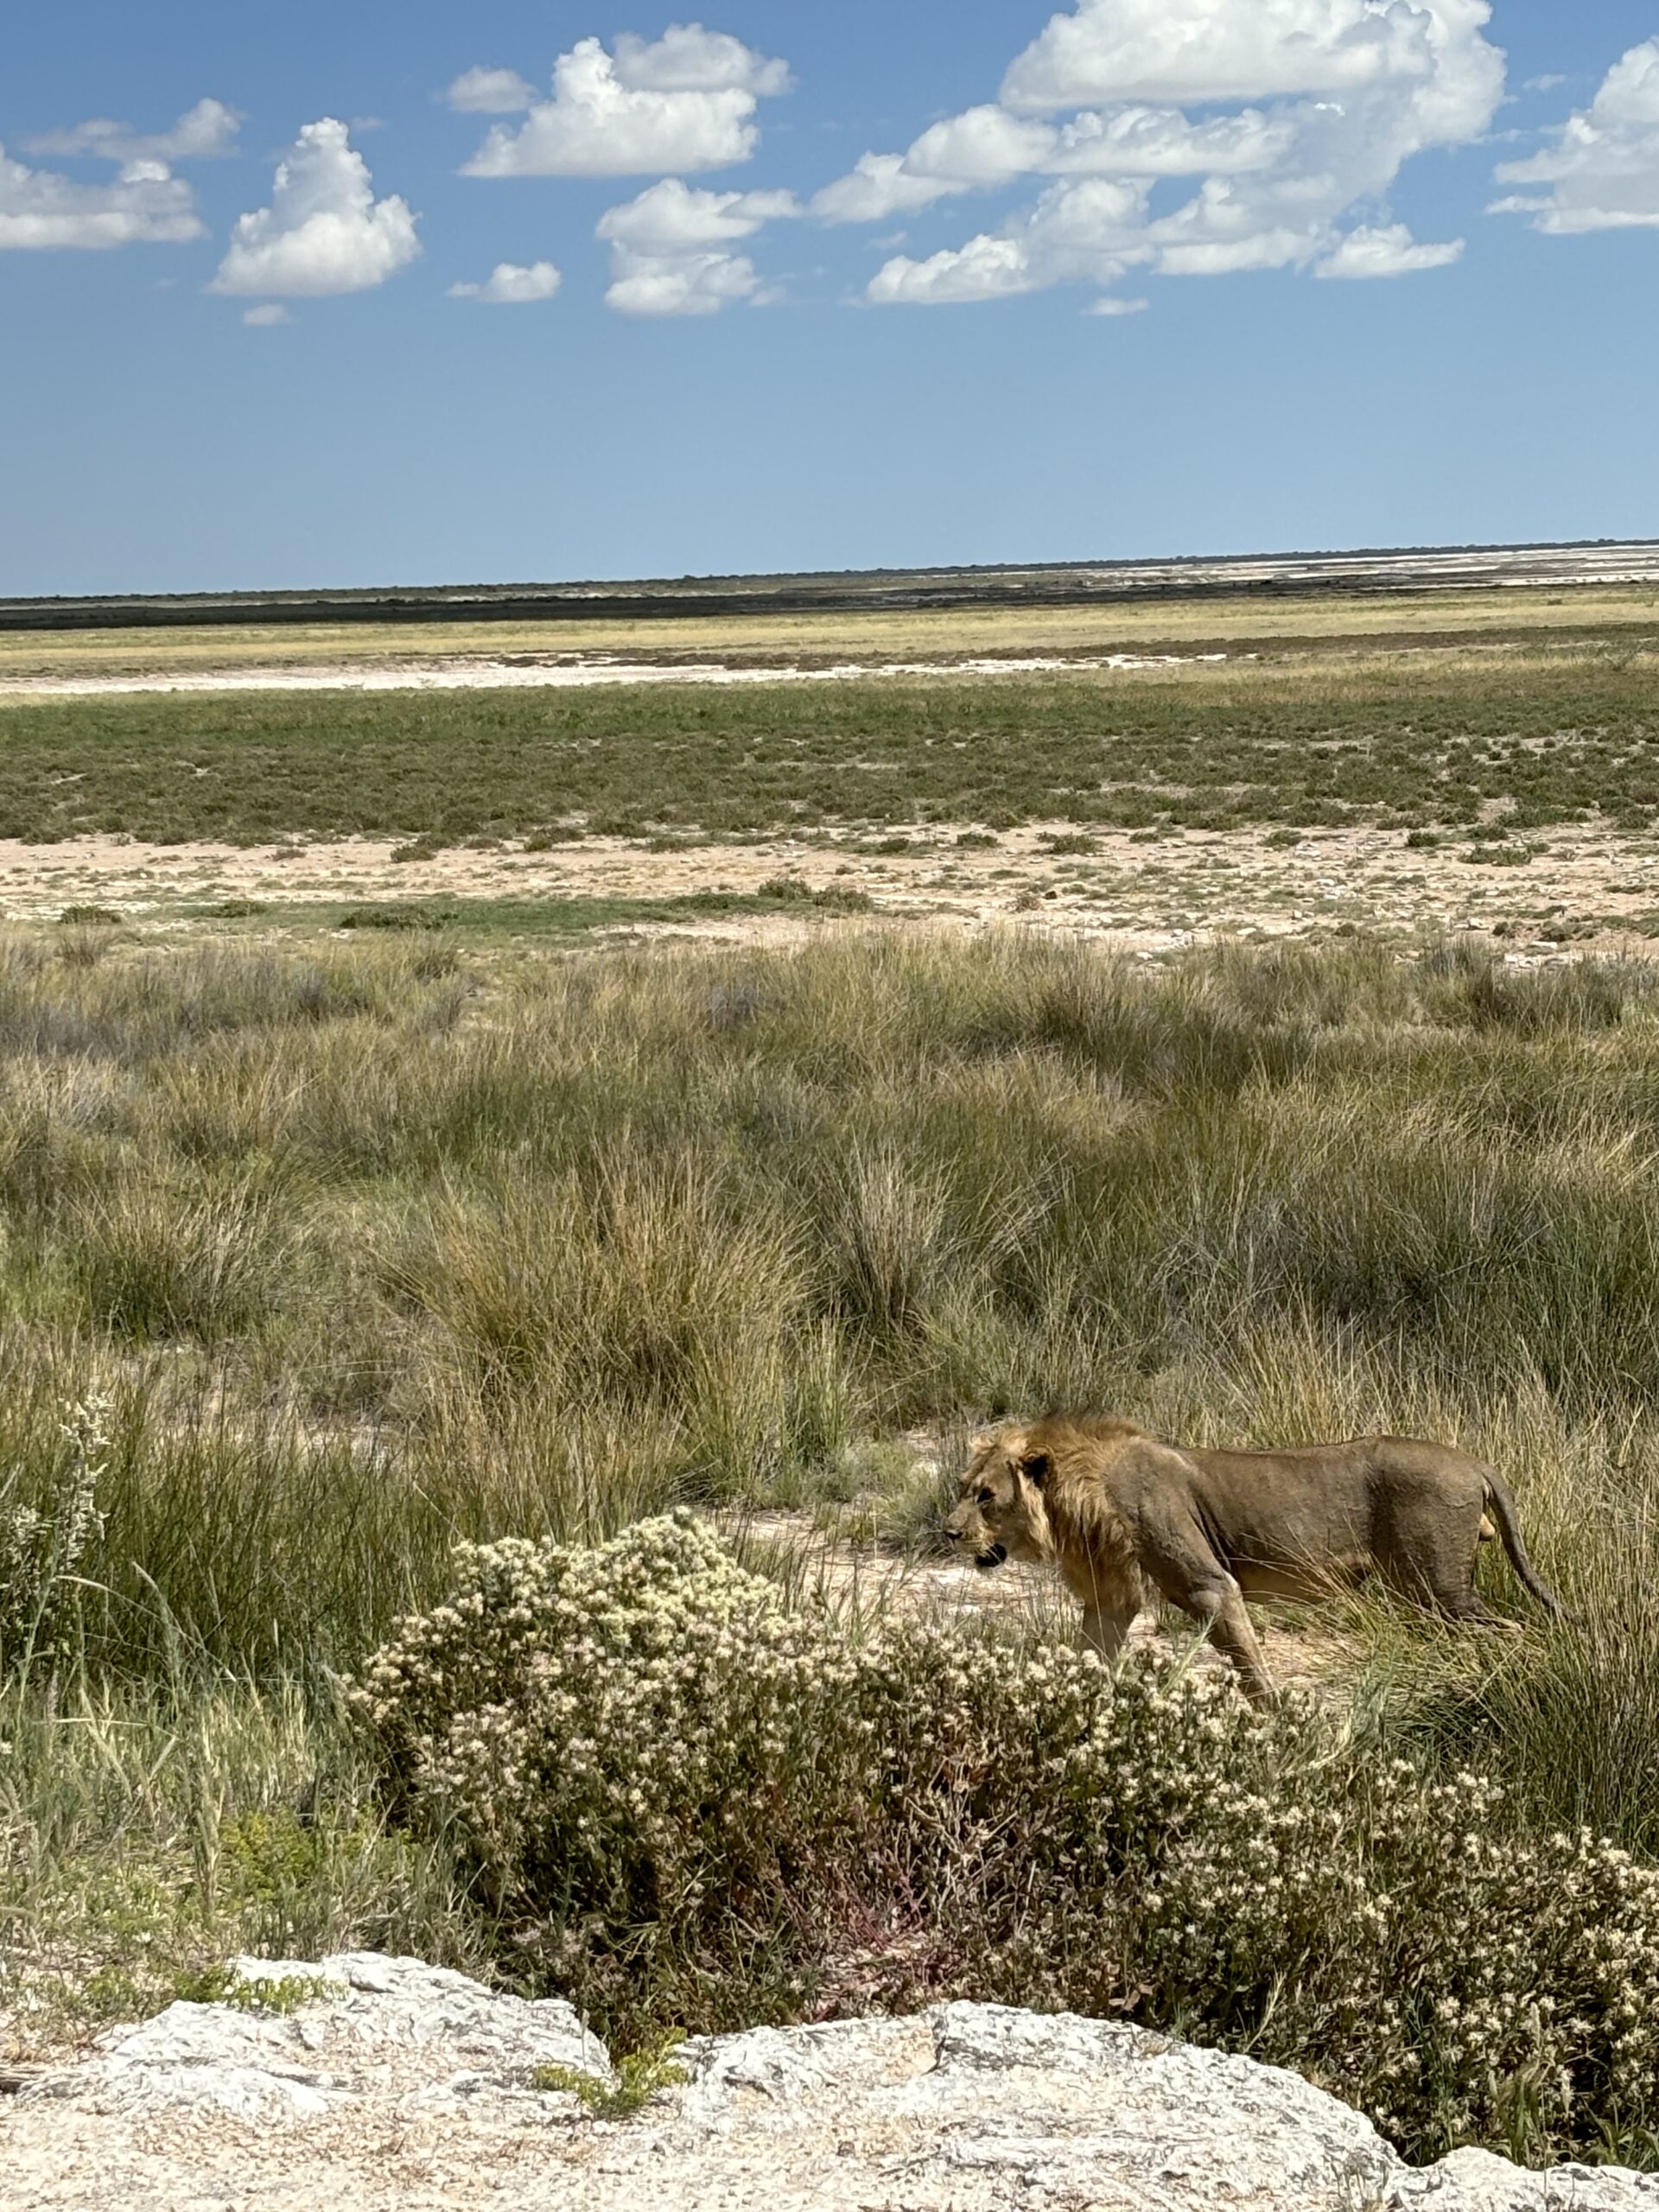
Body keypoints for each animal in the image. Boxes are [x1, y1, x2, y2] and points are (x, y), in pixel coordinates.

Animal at [944, 1415, 1561, 1703]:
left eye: (987, 1496)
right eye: (962, 1488)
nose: (949, 1532)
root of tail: (1475, 1462)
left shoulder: (1210, 1586)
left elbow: (1249, 1665)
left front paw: (1278, 1721)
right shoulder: (1109, 1598)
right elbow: (1091, 1656)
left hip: (1440, 1588)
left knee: (1511, 1630)